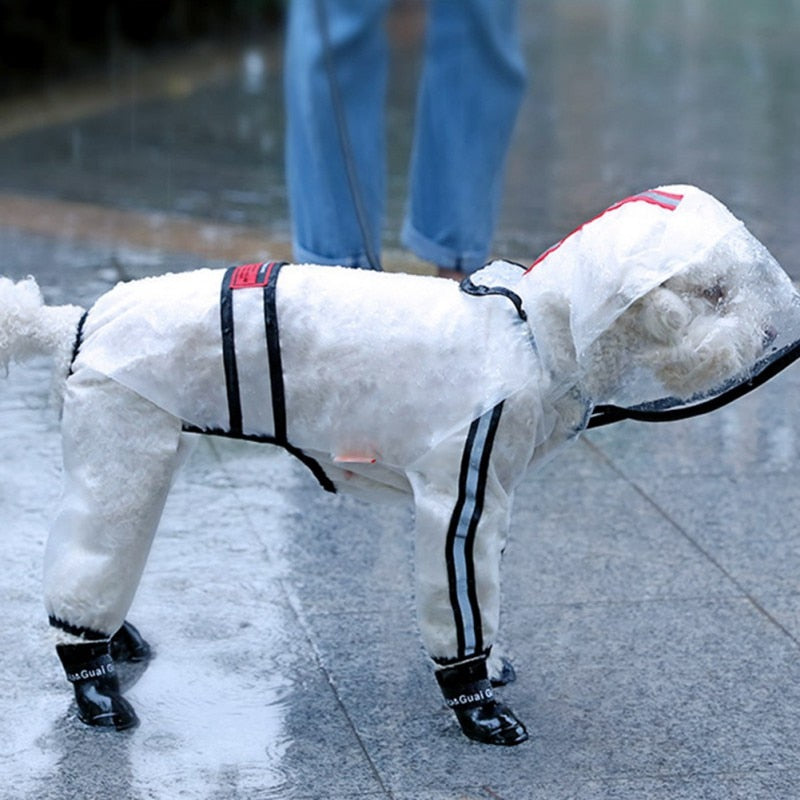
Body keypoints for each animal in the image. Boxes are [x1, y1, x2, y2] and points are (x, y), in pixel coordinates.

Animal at [0, 186, 792, 744]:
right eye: (717, 292)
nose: (772, 333)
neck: (535, 329)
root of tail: (77, 321)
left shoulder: (493, 493)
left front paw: (492, 668)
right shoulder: (460, 496)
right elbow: (463, 605)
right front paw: (478, 708)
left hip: (148, 441)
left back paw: (116, 639)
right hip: (121, 445)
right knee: (90, 561)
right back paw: (95, 685)